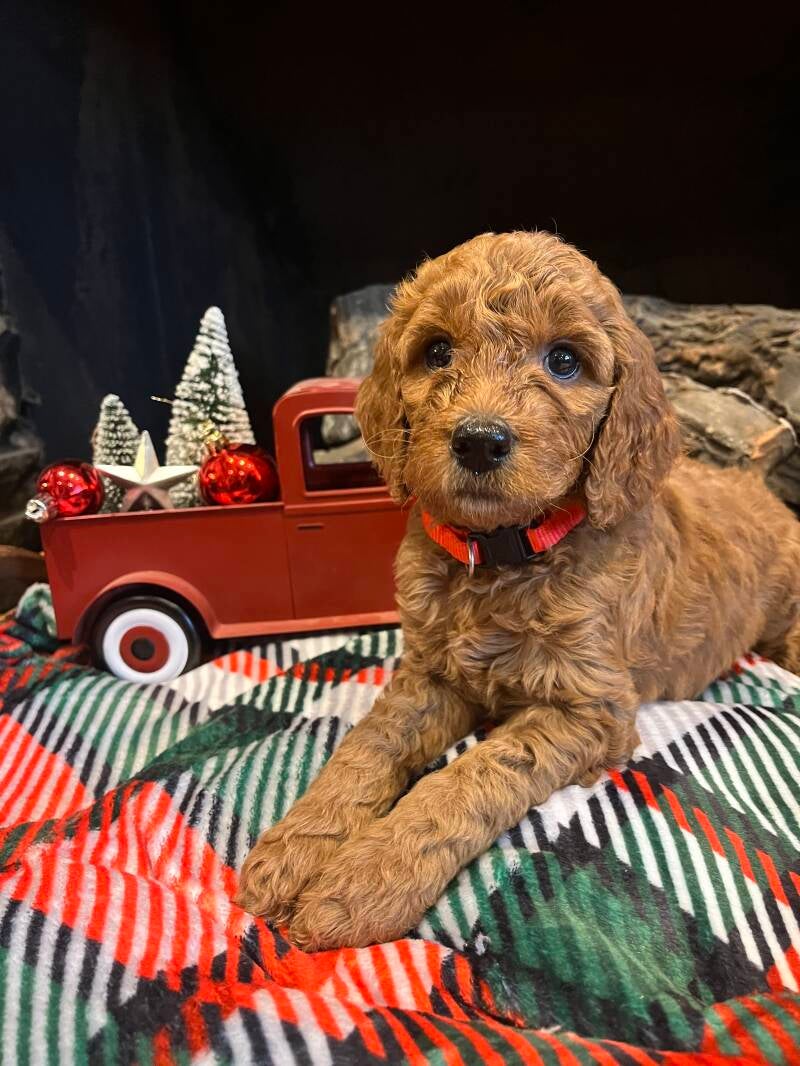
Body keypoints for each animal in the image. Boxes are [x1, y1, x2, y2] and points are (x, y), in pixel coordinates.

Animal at [237, 231, 800, 950]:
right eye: (437, 351)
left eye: (564, 360)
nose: (480, 440)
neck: (500, 558)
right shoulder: (428, 676)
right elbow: (366, 748)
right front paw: (293, 849)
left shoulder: (592, 709)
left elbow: (469, 778)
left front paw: (363, 882)